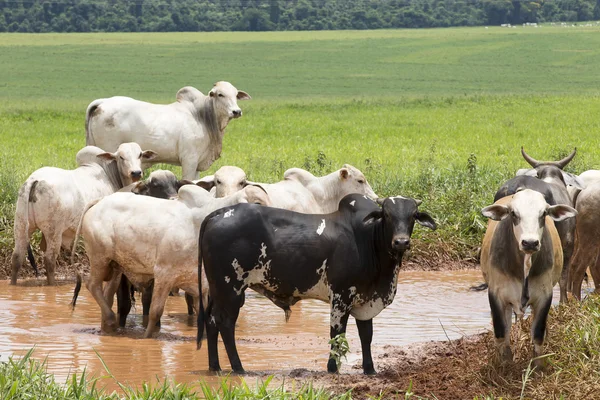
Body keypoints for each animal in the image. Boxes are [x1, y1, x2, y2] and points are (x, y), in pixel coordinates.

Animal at [11, 143, 156, 284]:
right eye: (121, 157)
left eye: (140, 155)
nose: (136, 172)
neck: (109, 174)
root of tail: (35, 180)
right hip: (54, 231)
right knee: (49, 260)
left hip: (21, 224)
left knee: (17, 256)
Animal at [71, 184, 270, 338]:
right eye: (258, 204)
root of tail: (100, 201)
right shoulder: (163, 274)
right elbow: (155, 311)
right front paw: (147, 337)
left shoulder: (200, 284)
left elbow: (203, 313)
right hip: (99, 257)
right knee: (92, 285)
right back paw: (111, 321)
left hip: (116, 266)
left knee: (107, 294)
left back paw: (107, 326)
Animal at [85, 81, 251, 180]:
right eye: (220, 94)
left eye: (236, 95)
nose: (236, 111)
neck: (202, 116)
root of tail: (103, 103)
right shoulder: (189, 160)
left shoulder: (197, 164)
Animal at [197, 194, 436, 376]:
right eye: (387, 215)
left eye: (413, 216)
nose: (401, 242)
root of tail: (219, 213)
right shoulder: (341, 296)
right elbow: (337, 334)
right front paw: (332, 368)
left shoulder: (364, 300)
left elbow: (366, 336)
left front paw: (370, 370)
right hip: (231, 289)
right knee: (225, 324)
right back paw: (238, 368)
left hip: (217, 290)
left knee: (211, 321)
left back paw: (215, 367)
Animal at [478, 191, 576, 368]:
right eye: (513, 213)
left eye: (543, 213)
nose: (530, 243)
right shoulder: (496, 294)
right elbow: (501, 332)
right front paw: (503, 365)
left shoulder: (545, 296)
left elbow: (537, 333)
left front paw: (538, 365)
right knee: (507, 327)